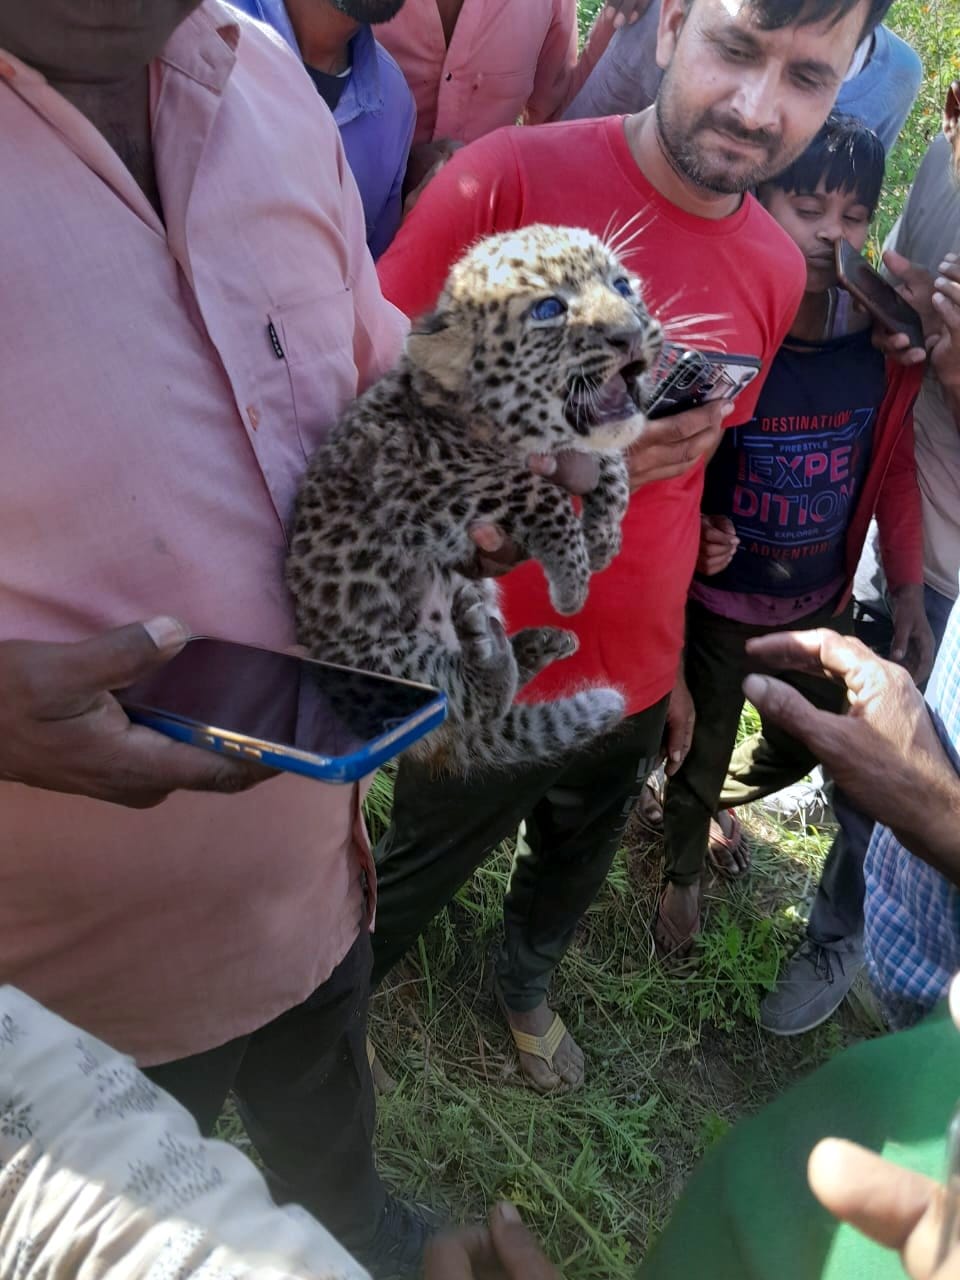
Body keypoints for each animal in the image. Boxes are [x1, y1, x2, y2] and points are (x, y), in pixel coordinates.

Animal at [287, 223, 664, 775]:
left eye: (622, 286)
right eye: (548, 309)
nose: (631, 333)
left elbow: (607, 461)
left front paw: (602, 538)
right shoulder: (425, 481)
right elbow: (538, 490)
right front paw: (573, 580)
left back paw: (530, 642)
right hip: (382, 662)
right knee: (469, 700)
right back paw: (489, 655)